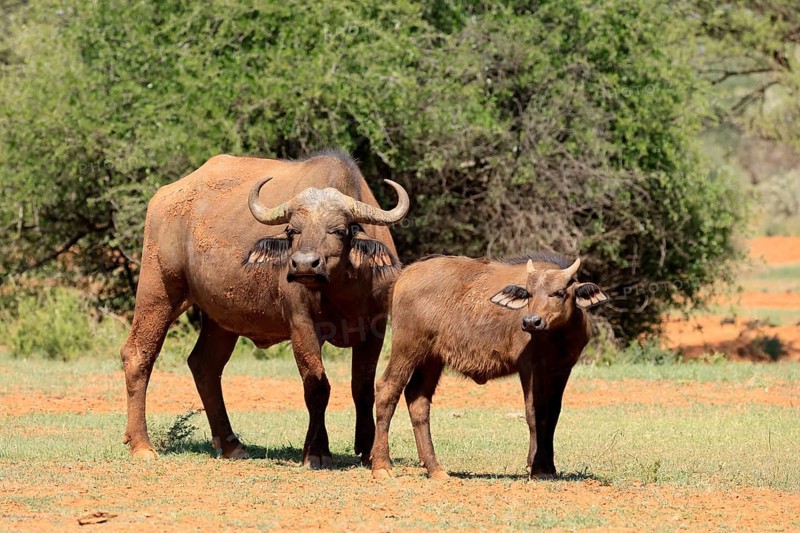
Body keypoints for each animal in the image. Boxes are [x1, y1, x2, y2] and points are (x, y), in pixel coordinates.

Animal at [120, 150, 408, 467]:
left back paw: (231, 444)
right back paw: (141, 445)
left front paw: (368, 448)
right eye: (293, 230)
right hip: (158, 289)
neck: (341, 288)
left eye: (339, 230)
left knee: (205, 365)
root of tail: (164, 197)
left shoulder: (375, 328)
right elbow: (317, 385)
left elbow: (363, 387)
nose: (304, 264)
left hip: (221, 318)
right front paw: (316, 451)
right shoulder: (301, 326)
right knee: (138, 354)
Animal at [370, 252, 608, 479]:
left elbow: (552, 415)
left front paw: (549, 467)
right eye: (529, 294)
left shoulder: (562, 369)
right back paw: (382, 465)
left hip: (431, 359)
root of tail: (405, 274)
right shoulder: (529, 367)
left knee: (418, 399)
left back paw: (435, 468)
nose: (531, 322)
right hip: (407, 348)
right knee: (387, 389)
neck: (557, 337)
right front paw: (537, 467)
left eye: (559, 292)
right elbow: (535, 413)